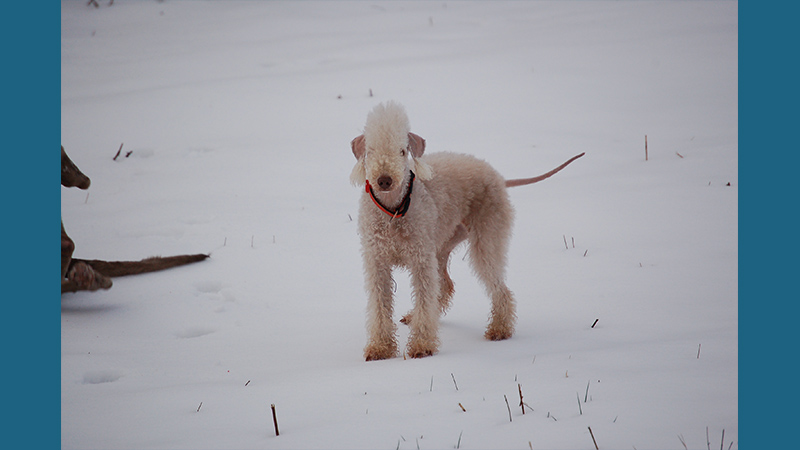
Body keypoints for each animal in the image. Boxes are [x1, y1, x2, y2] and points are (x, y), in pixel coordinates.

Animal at [350, 102, 580, 362]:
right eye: (370, 151)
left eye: (402, 151)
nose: (384, 180)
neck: (393, 209)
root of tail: (499, 178)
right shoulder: (377, 261)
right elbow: (380, 306)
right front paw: (380, 349)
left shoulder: (420, 260)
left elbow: (424, 298)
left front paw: (422, 346)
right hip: (442, 245)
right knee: (446, 285)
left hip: (487, 236)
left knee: (499, 288)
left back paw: (499, 330)